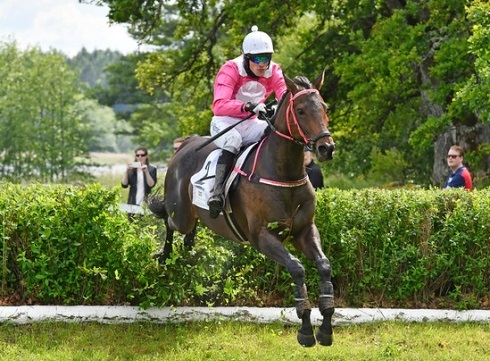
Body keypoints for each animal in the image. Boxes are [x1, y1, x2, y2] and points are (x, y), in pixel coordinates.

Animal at [147, 71, 334, 346]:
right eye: (300, 110)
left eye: (324, 107)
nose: (326, 148)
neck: (283, 172)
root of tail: (186, 144)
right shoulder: (261, 236)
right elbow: (296, 267)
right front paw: (306, 329)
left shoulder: (304, 231)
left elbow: (324, 265)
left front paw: (326, 327)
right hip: (180, 213)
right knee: (170, 222)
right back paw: (164, 255)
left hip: (194, 216)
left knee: (189, 235)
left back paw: (187, 257)